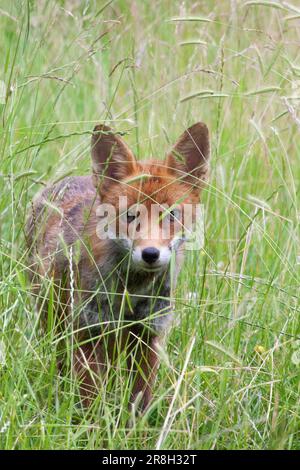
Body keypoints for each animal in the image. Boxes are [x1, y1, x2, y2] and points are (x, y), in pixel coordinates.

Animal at [25, 121, 210, 412]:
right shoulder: (88, 333)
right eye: (130, 215)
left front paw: (134, 426)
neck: (131, 292)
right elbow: (92, 403)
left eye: (171, 215)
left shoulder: (147, 336)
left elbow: (139, 402)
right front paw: (93, 425)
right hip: (54, 319)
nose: (150, 254)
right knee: (61, 362)